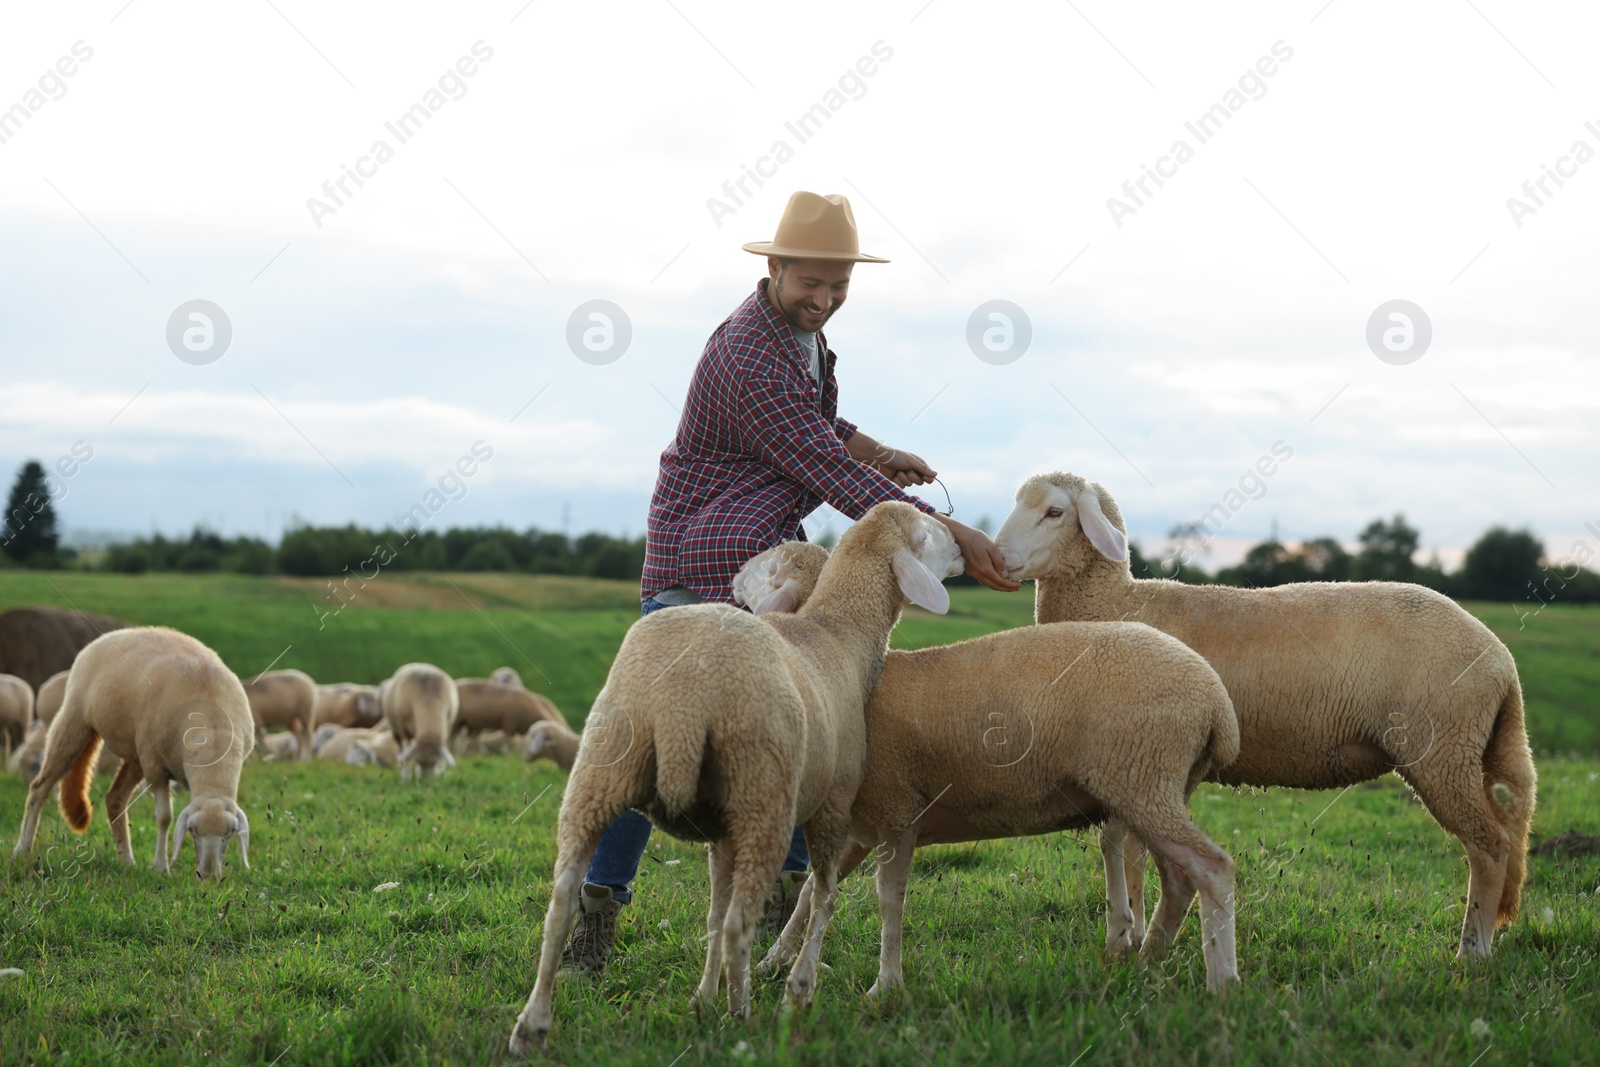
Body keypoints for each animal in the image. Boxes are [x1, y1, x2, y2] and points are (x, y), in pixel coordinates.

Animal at [10, 627, 252, 876]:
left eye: (229, 833)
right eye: (192, 831)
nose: (208, 876)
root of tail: (115, 633)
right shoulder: (155, 768)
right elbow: (164, 817)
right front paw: (160, 867)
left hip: (137, 751)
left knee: (115, 798)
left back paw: (126, 861)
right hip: (75, 721)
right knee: (39, 788)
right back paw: (22, 850)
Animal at [508, 502, 960, 1049]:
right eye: (929, 531)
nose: (962, 546)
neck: (836, 633)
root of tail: (684, 699)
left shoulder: (720, 833)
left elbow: (712, 912)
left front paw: (703, 996)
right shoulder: (832, 807)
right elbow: (823, 896)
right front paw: (798, 986)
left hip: (602, 772)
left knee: (560, 907)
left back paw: (532, 1024)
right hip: (762, 795)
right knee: (740, 925)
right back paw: (741, 1017)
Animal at [732, 547, 1241, 998]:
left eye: (773, 564)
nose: (733, 581)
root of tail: (1216, 701)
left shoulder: (898, 811)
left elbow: (889, 902)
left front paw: (884, 987)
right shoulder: (862, 826)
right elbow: (808, 897)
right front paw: (773, 961)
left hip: (1143, 777)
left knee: (1212, 868)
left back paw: (1221, 983)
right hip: (1153, 785)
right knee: (1179, 880)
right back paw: (1148, 961)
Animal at [998, 470, 1536, 959]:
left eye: (1055, 511)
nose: (1000, 558)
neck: (1118, 603)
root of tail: (1502, 659)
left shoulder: (1137, 751)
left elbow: (1123, 845)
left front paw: (1127, 934)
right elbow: (1122, 844)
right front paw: (1127, 932)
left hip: (1444, 748)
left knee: (1490, 847)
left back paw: (1471, 954)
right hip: (1467, 748)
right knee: (1502, 838)